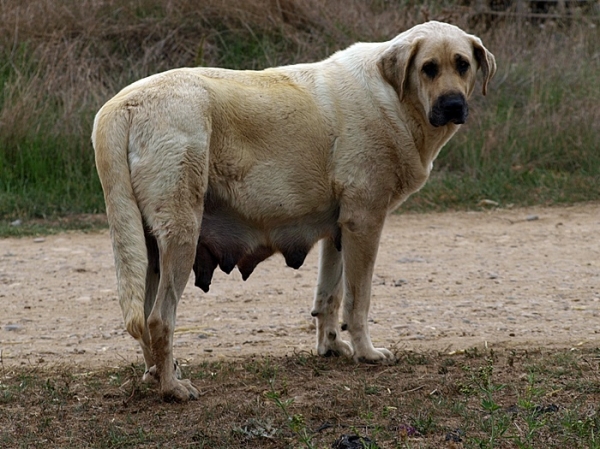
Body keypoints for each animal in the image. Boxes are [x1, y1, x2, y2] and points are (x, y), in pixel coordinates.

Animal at [92, 20, 496, 400]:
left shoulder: (339, 230)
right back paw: (172, 388)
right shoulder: (365, 222)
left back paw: (157, 375)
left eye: (462, 64)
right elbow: (358, 300)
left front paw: (331, 346)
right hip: (182, 236)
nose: (453, 105)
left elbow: (329, 296)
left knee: (145, 318)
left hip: (149, 249)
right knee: (160, 319)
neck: (395, 98)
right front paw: (366, 353)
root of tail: (122, 106)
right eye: (428, 68)